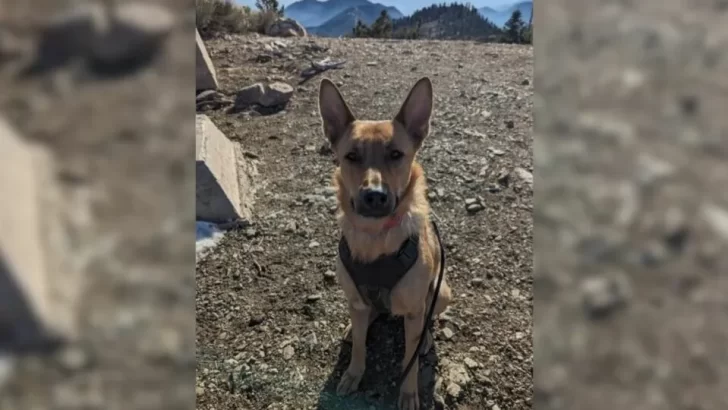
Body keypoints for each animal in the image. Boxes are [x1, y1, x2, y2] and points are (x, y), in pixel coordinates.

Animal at [318, 77, 450, 410]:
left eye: (396, 154)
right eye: (352, 156)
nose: (374, 196)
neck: (375, 235)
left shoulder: (414, 312)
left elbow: (410, 361)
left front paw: (409, 393)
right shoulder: (355, 300)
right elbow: (359, 349)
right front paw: (353, 374)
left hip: (442, 292)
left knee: (427, 317)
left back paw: (426, 339)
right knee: (366, 316)